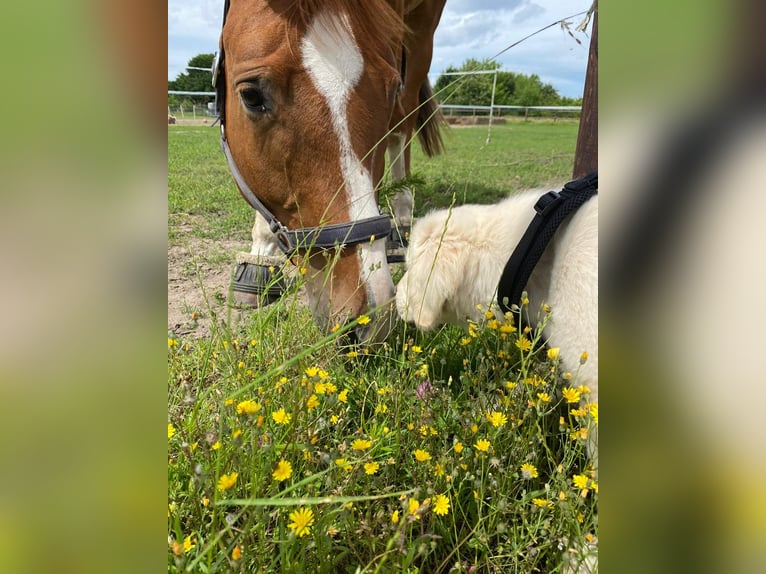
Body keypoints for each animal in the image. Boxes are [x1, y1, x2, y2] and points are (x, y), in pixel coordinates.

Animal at [216, 0, 445, 343]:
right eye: (251, 96)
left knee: (405, 123)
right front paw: (260, 260)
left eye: (391, 91)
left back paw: (403, 224)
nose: (367, 318)